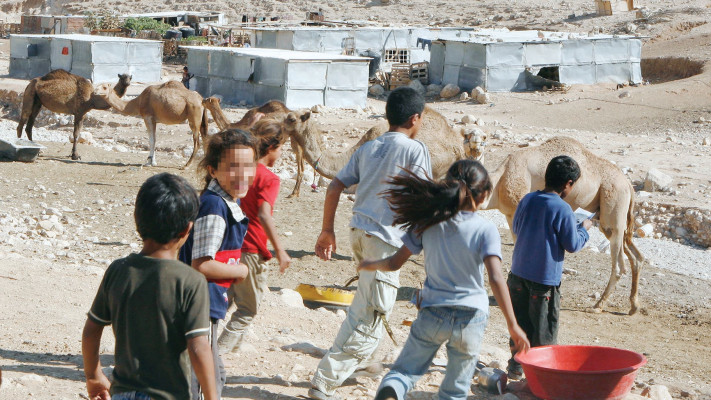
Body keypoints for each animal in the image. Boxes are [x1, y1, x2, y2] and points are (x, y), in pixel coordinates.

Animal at [470, 137, 648, 316]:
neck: (499, 181)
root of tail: (628, 185)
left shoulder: (516, 209)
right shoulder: (509, 214)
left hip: (613, 208)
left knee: (619, 266)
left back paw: (598, 305)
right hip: (612, 219)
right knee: (636, 257)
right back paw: (634, 306)